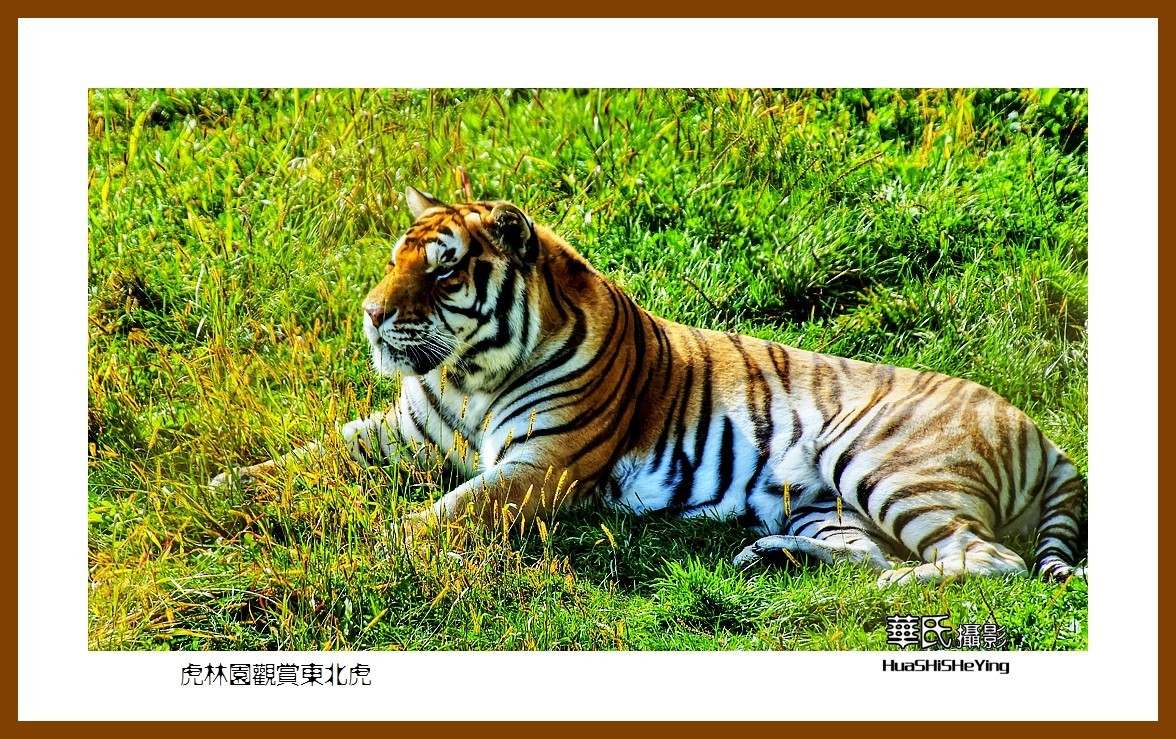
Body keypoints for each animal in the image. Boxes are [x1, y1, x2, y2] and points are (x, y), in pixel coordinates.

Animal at [214, 185, 1086, 586]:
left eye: (444, 268)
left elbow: (449, 509)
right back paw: (769, 555)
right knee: (870, 550)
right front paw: (222, 487)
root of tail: (1045, 435)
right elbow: (303, 458)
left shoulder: (539, 468)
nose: (368, 315)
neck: (466, 375)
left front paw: (378, 540)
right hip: (825, 504)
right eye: (397, 257)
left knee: (985, 561)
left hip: (883, 462)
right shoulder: (401, 430)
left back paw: (893, 582)